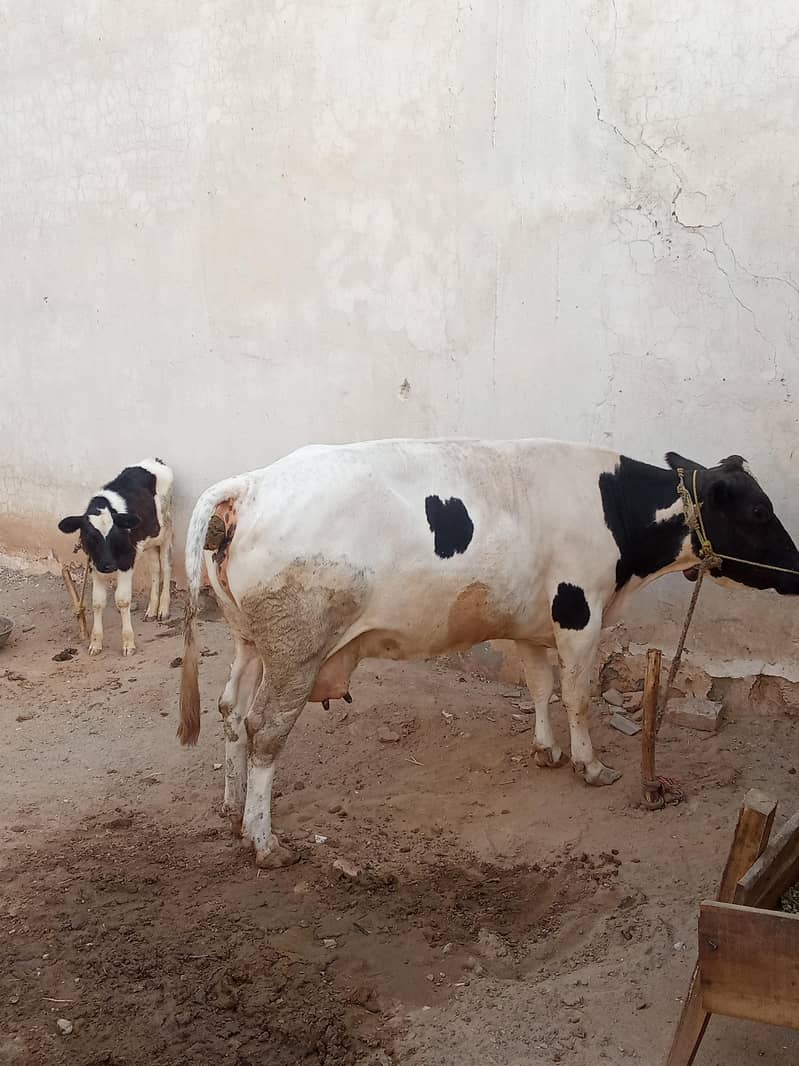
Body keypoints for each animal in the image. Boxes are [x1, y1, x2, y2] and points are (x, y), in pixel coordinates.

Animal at [58, 458, 174, 656]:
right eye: (90, 536)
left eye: (116, 535)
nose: (109, 566)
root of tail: (155, 461)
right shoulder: (94, 563)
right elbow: (97, 602)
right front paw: (95, 643)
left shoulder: (127, 560)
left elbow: (122, 600)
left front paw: (128, 642)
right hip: (150, 538)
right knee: (155, 569)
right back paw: (152, 609)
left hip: (165, 531)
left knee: (165, 567)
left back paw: (163, 609)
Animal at [177, 439, 799, 868]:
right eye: (760, 511)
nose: (797, 570)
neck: (614, 510)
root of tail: (249, 484)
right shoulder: (580, 612)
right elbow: (577, 696)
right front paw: (590, 766)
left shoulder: (532, 622)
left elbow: (540, 688)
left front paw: (547, 751)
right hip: (297, 649)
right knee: (264, 730)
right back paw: (265, 842)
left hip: (251, 640)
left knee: (231, 712)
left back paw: (232, 810)